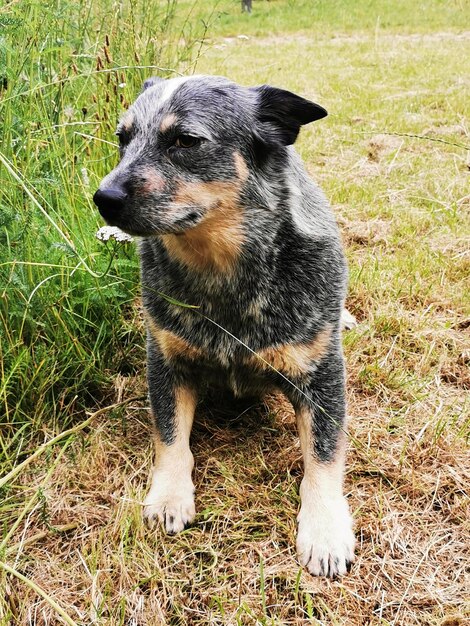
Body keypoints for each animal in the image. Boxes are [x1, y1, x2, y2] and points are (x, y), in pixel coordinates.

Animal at [93, 75, 354, 576]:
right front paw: (169, 495)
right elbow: (170, 436)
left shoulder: (322, 373)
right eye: (122, 138)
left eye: (185, 140)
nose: (104, 197)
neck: (222, 273)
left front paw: (326, 528)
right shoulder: (166, 362)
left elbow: (324, 454)